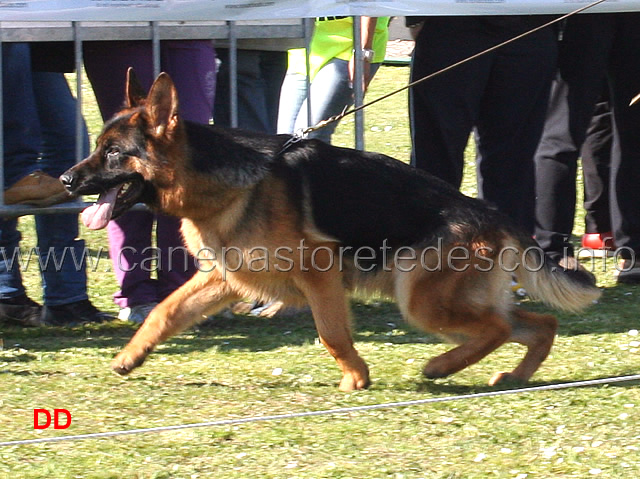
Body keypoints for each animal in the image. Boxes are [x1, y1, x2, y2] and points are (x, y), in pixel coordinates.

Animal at [60, 70, 600, 390]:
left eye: (113, 153)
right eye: (99, 147)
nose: (65, 180)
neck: (226, 182)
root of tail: (491, 212)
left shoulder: (319, 278)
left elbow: (332, 334)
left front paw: (356, 377)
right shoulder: (224, 278)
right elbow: (165, 311)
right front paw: (131, 356)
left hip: (421, 302)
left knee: (500, 327)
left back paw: (441, 367)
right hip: (449, 302)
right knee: (536, 324)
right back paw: (514, 375)